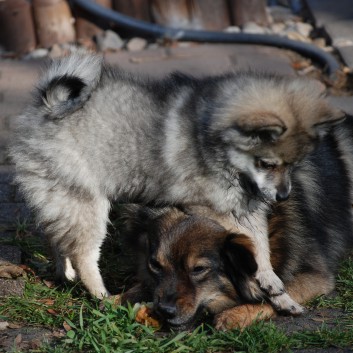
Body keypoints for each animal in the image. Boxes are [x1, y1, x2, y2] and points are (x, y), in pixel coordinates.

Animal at [120, 117, 352, 328]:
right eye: (155, 264)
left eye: (199, 269)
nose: (164, 311)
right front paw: (122, 297)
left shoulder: (315, 276)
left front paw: (237, 313)